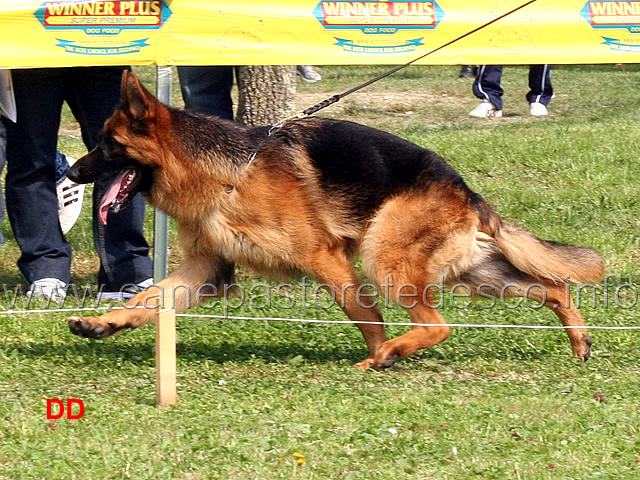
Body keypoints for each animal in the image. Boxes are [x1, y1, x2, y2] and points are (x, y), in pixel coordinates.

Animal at [67, 71, 604, 370]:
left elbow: (364, 315)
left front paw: (380, 352)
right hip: (474, 273)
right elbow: (149, 299)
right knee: (553, 287)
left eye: (107, 145)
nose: (69, 172)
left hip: (384, 258)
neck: (228, 173)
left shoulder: (323, 258)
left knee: (439, 324)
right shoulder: (208, 271)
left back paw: (394, 353)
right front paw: (104, 323)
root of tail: (465, 189)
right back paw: (579, 341)